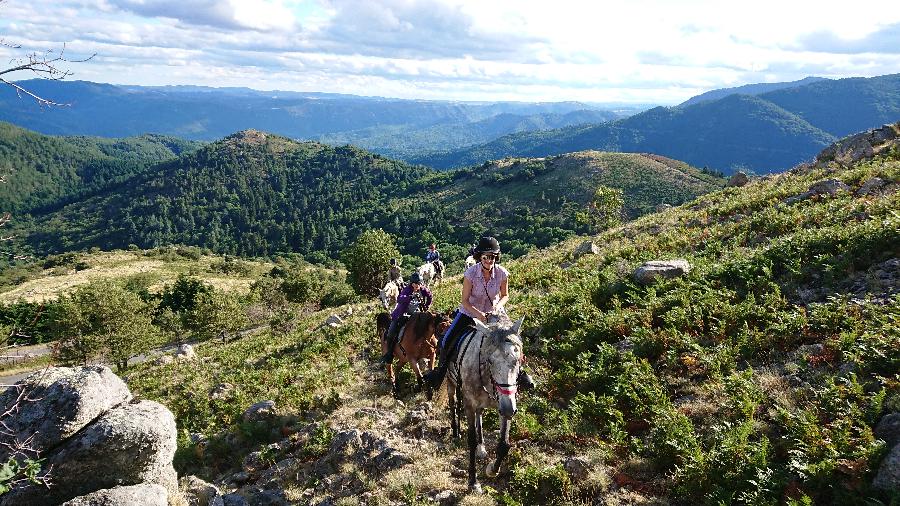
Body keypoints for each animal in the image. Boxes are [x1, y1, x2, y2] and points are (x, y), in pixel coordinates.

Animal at [442, 314, 520, 492]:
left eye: (517, 360)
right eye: (490, 361)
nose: (509, 409)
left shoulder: (504, 404)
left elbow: (504, 444)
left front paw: (492, 469)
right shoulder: (469, 404)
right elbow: (470, 440)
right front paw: (473, 481)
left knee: (480, 415)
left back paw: (481, 447)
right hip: (450, 382)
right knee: (453, 403)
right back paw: (455, 432)